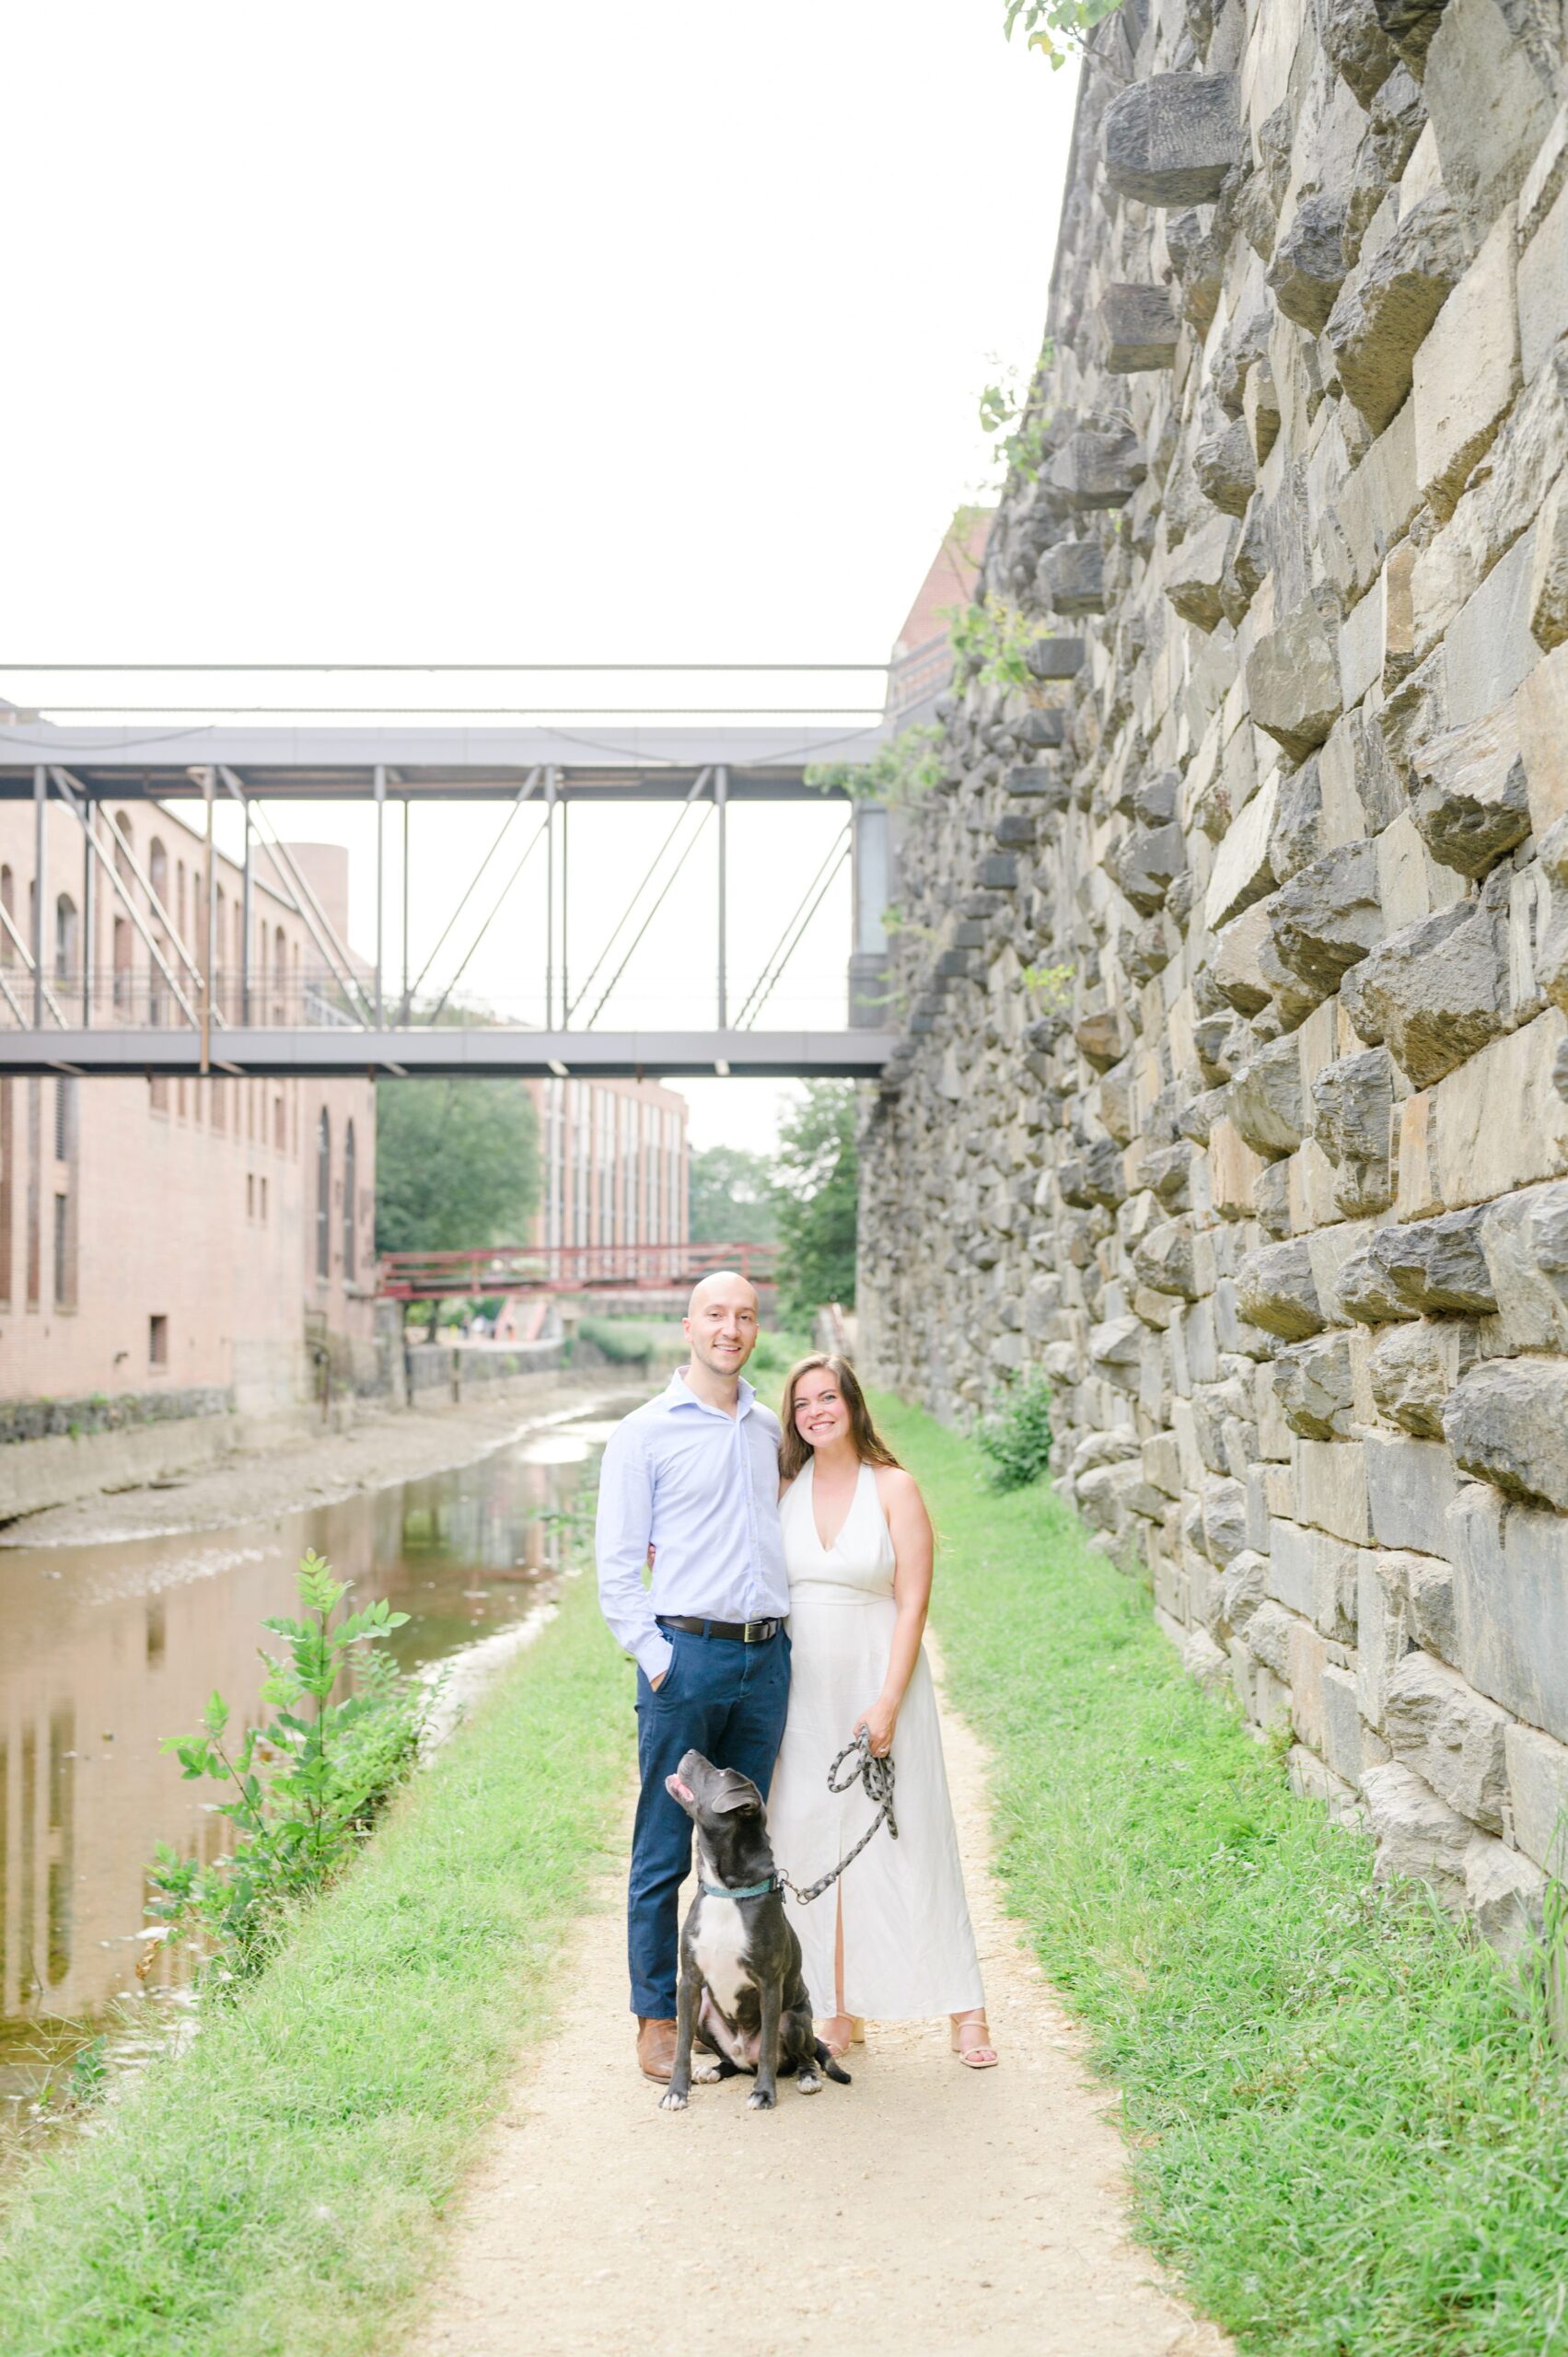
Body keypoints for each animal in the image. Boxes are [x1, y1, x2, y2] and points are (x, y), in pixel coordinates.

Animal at [655, 1753, 848, 2121]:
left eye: (719, 1774)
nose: (689, 1752)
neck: (727, 1892)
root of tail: (744, 2054)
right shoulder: (689, 1981)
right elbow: (681, 2046)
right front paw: (676, 2092)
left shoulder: (769, 1984)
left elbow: (770, 2047)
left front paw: (764, 2094)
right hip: (705, 2014)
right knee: (731, 2060)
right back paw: (715, 2069)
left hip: (793, 2017)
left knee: (797, 2055)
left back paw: (807, 2077)